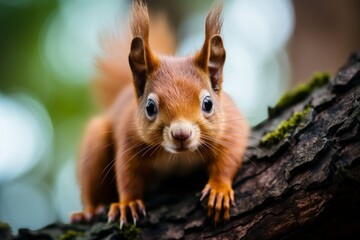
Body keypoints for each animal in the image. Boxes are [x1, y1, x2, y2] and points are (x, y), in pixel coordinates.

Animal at [71, 0, 249, 228]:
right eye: (150, 107)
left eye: (208, 104)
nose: (181, 134)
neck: (178, 156)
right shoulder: (129, 137)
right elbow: (127, 175)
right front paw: (128, 203)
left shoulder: (231, 127)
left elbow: (228, 157)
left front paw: (219, 189)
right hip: (96, 143)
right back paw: (89, 212)